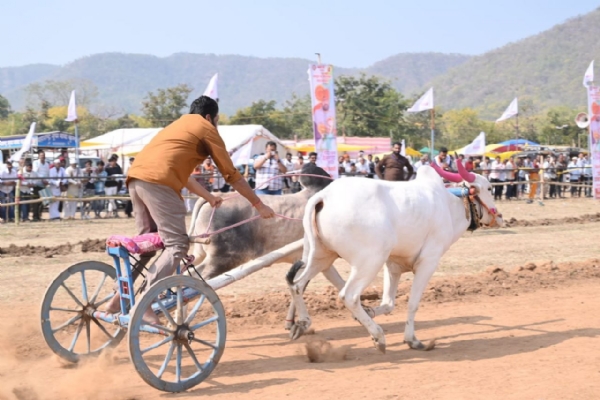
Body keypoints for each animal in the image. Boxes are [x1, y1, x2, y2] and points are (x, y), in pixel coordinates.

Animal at [286, 160, 502, 354]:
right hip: (369, 261)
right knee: (349, 296)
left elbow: (388, 304)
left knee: (297, 285)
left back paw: (302, 323)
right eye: (489, 188)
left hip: (320, 257)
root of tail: (324, 196)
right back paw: (378, 336)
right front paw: (412, 340)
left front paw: (371, 312)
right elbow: (413, 303)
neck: (449, 206)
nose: (499, 217)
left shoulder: (393, 266)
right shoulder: (428, 262)